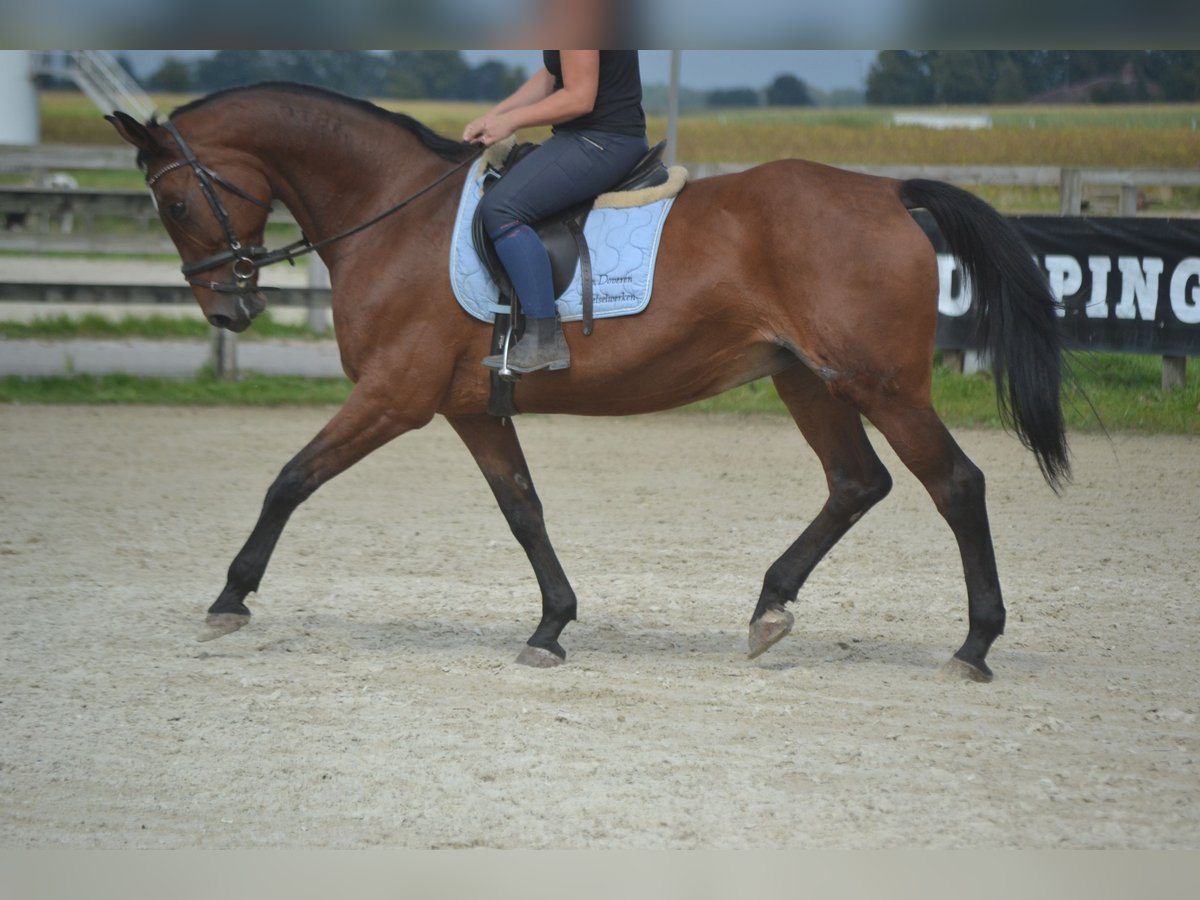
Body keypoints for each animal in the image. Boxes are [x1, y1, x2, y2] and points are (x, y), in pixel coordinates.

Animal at [110, 82, 1070, 681]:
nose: (229, 309)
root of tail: (887, 191)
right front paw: (551, 626)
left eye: (176, 202)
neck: (394, 212)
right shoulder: (470, 409)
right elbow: (523, 508)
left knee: (956, 484)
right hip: (808, 379)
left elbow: (290, 479)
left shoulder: (394, 397)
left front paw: (231, 597)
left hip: (881, 384)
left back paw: (975, 645)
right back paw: (769, 608)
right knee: (856, 482)